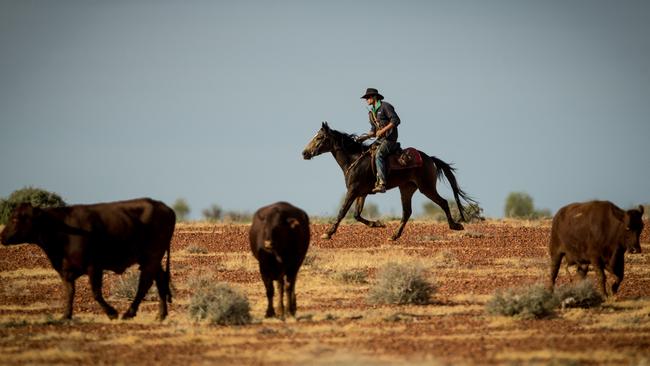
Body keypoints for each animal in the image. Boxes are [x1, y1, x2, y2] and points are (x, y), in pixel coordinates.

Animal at [0, 197, 175, 320]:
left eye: (16, 219)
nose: (2, 236)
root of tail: (165, 208)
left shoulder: (94, 266)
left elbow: (96, 293)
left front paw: (112, 313)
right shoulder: (65, 271)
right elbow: (69, 292)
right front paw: (66, 316)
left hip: (151, 257)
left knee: (144, 284)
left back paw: (129, 313)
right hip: (152, 260)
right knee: (160, 280)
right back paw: (161, 315)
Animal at [302, 123, 474, 242]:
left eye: (319, 137)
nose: (304, 153)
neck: (354, 160)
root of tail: (429, 159)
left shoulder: (352, 190)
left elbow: (342, 212)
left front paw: (328, 233)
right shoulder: (361, 193)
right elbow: (357, 215)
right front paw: (378, 224)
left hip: (426, 187)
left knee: (443, 202)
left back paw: (455, 226)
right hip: (406, 189)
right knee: (407, 212)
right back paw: (394, 235)